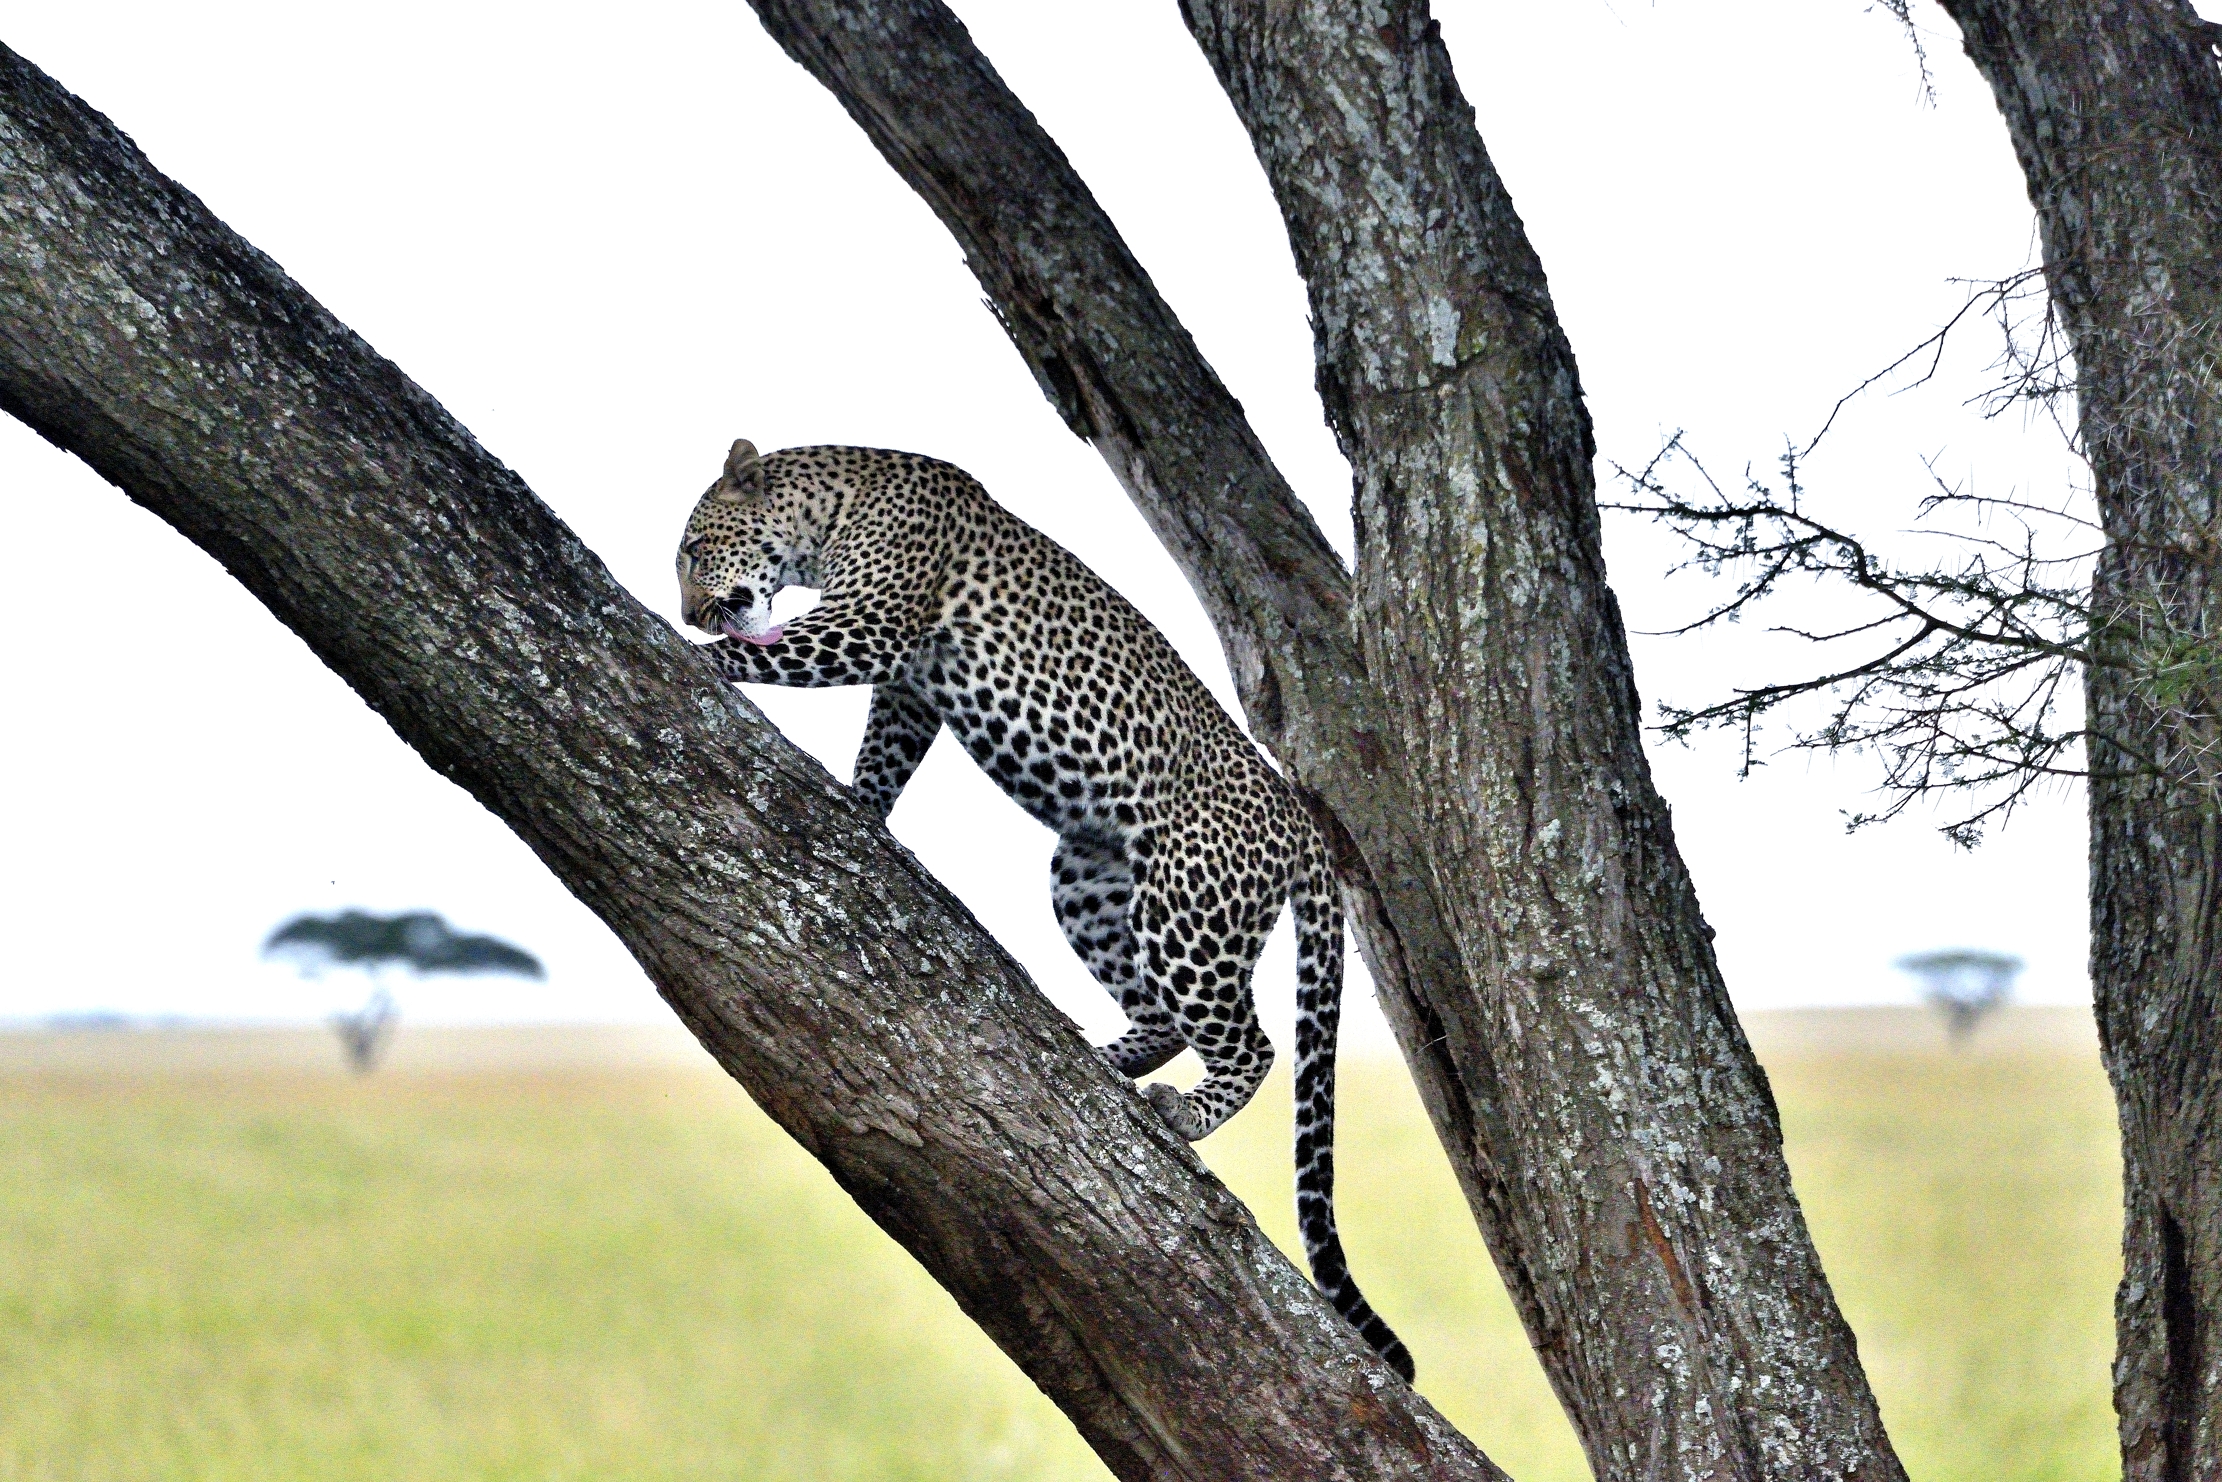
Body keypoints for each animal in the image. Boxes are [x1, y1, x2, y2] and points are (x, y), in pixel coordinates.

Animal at [676, 438, 1411, 1379]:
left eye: (696, 549)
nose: (693, 612)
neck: (832, 501)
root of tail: (1304, 820)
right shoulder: (910, 682)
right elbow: (885, 750)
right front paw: (860, 803)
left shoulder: (873, 622)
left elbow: (772, 654)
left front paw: (690, 650)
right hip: (1087, 878)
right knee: (1162, 1017)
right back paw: (1102, 1060)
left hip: (1186, 909)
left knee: (1251, 1042)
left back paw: (1183, 1111)